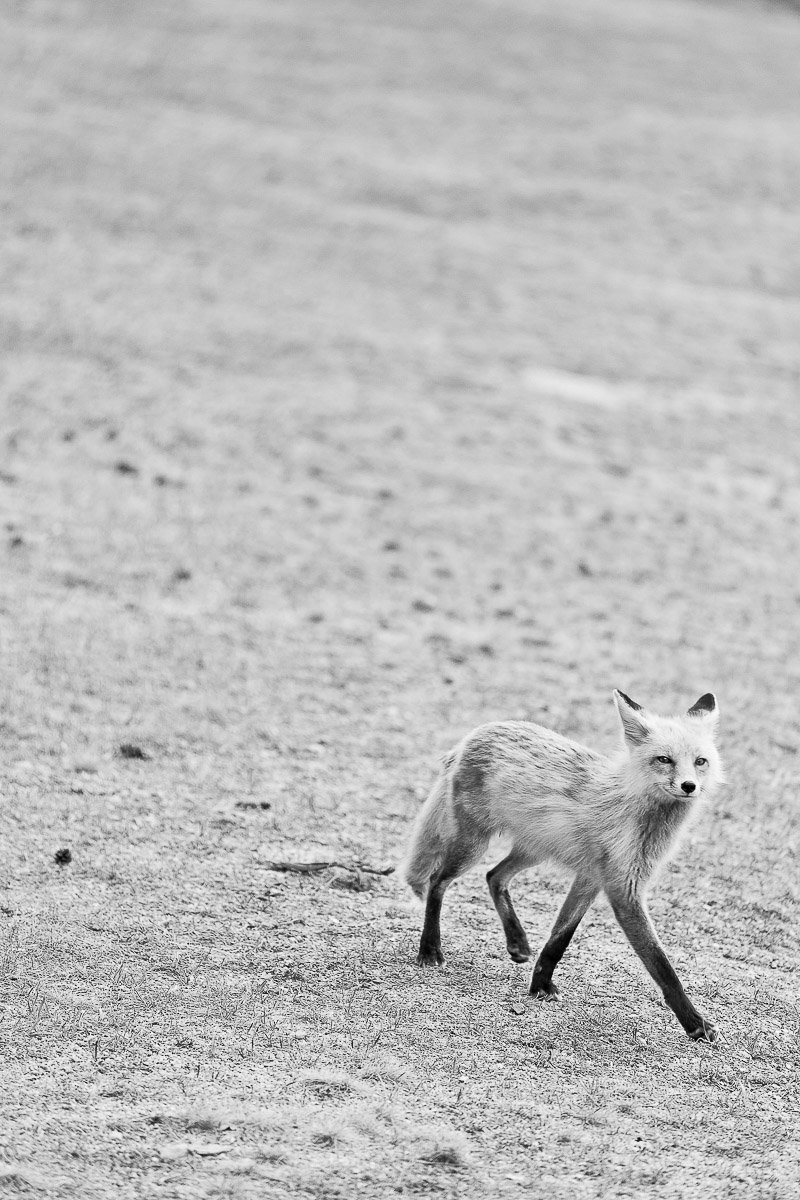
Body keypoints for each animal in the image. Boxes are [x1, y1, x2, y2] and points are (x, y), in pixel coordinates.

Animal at [401, 690, 724, 1042]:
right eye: (664, 759)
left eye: (700, 762)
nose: (689, 786)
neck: (637, 817)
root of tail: (476, 734)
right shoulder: (623, 892)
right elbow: (662, 967)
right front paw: (695, 1023)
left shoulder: (591, 878)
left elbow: (560, 938)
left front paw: (540, 984)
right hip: (473, 846)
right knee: (437, 882)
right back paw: (430, 949)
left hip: (533, 850)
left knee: (494, 877)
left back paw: (517, 942)